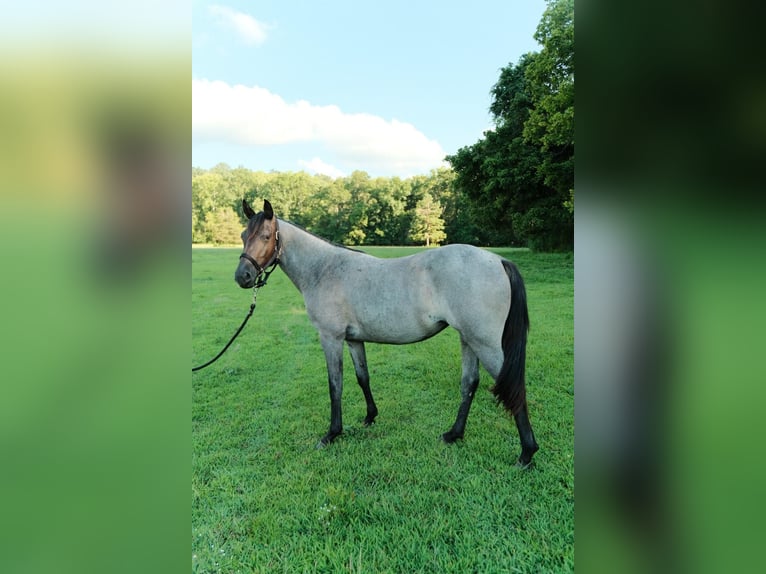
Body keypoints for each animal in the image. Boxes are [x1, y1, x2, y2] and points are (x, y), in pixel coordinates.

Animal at [234, 199, 539, 466]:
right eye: (243, 235)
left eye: (265, 236)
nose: (242, 277)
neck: (324, 269)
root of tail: (498, 260)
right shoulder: (354, 340)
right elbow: (362, 378)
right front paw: (370, 417)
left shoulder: (331, 338)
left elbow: (335, 385)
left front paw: (332, 433)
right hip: (469, 339)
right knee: (470, 384)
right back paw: (454, 435)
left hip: (485, 343)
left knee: (513, 388)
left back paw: (527, 453)